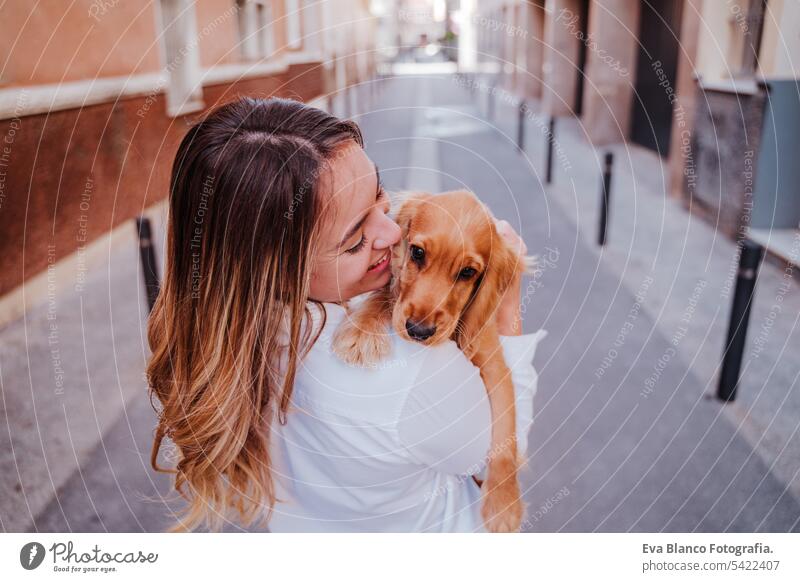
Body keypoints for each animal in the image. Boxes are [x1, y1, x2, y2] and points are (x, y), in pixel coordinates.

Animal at [332, 190, 536, 532]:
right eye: (417, 253)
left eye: (467, 272)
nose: (419, 331)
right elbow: (387, 296)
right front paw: (361, 330)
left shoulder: (494, 364)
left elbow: (505, 440)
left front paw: (504, 504)